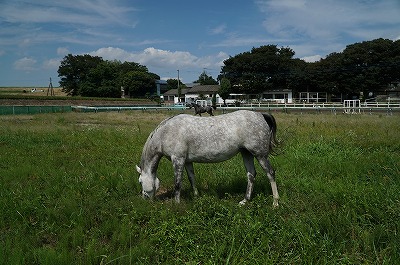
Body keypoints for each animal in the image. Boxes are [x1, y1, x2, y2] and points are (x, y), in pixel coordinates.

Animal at [136, 109, 280, 206]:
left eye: (140, 182)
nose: (144, 199)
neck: (166, 133)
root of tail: (261, 115)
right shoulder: (187, 161)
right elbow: (191, 178)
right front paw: (196, 196)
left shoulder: (178, 159)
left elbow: (177, 183)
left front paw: (177, 204)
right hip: (246, 153)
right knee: (251, 175)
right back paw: (245, 200)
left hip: (260, 154)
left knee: (270, 173)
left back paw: (275, 202)